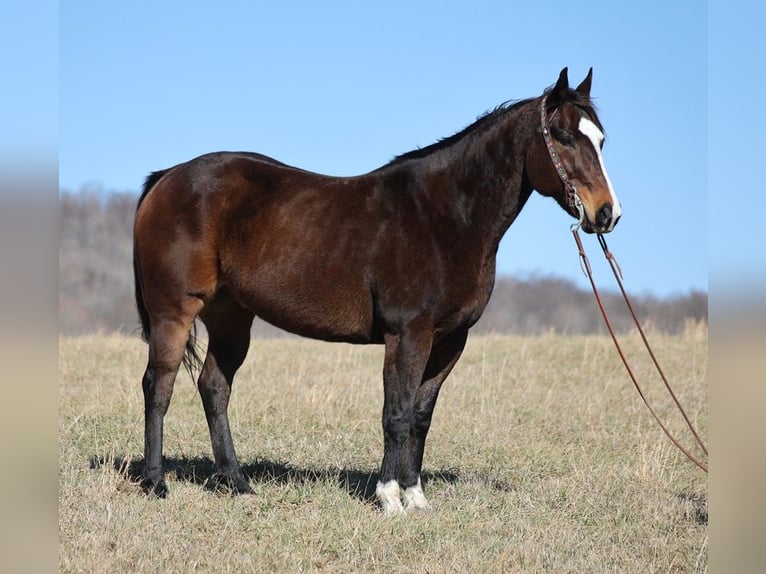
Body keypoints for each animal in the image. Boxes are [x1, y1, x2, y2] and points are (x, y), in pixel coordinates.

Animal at [134, 68, 624, 516]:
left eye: (601, 140)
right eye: (563, 136)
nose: (607, 214)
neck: (444, 217)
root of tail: (168, 177)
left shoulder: (450, 340)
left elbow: (421, 417)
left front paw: (415, 496)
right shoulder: (407, 335)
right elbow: (397, 413)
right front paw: (388, 498)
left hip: (231, 316)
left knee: (214, 387)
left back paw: (236, 483)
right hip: (173, 312)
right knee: (158, 386)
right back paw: (156, 483)